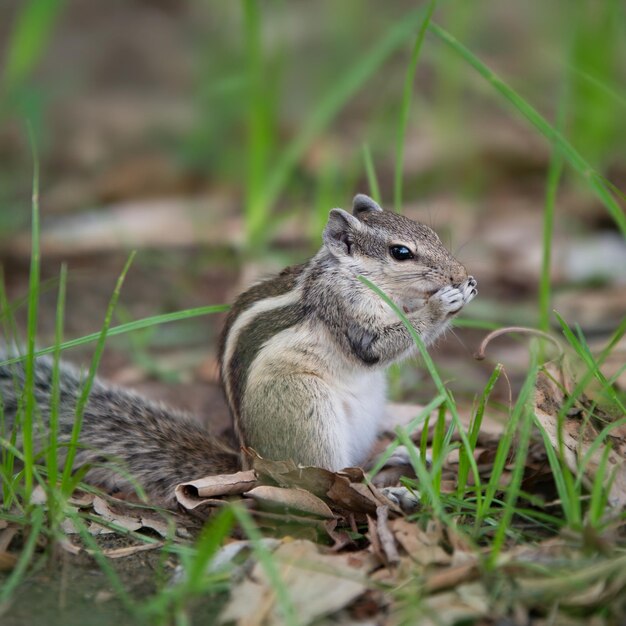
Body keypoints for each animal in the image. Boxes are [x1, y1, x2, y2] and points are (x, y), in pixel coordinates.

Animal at [2, 195, 476, 508]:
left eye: (433, 233)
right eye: (401, 253)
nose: (460, 273)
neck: (349, 273)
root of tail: (248, 464)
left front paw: (465, 290)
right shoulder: (345, 310)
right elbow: (379, 346)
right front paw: (443, 304)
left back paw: (396, 457)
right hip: (307, 414)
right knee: (326, 482)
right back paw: (389, 491)